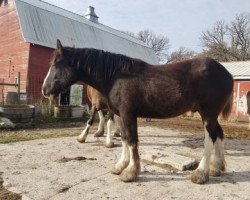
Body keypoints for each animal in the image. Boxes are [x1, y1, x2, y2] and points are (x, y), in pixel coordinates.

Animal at [42, 40, 233, 184]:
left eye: (55, 65)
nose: (44, 90)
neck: (116, 77)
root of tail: (227, 73)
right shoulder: (120, 114)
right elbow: (125, 138)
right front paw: (121, 166)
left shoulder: (128, 113)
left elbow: (132, 140)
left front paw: (130, 172)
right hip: (211, 115)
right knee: (219, 134)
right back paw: (216, 167)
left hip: (207, 113)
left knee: (210, 138)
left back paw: (201, 173)